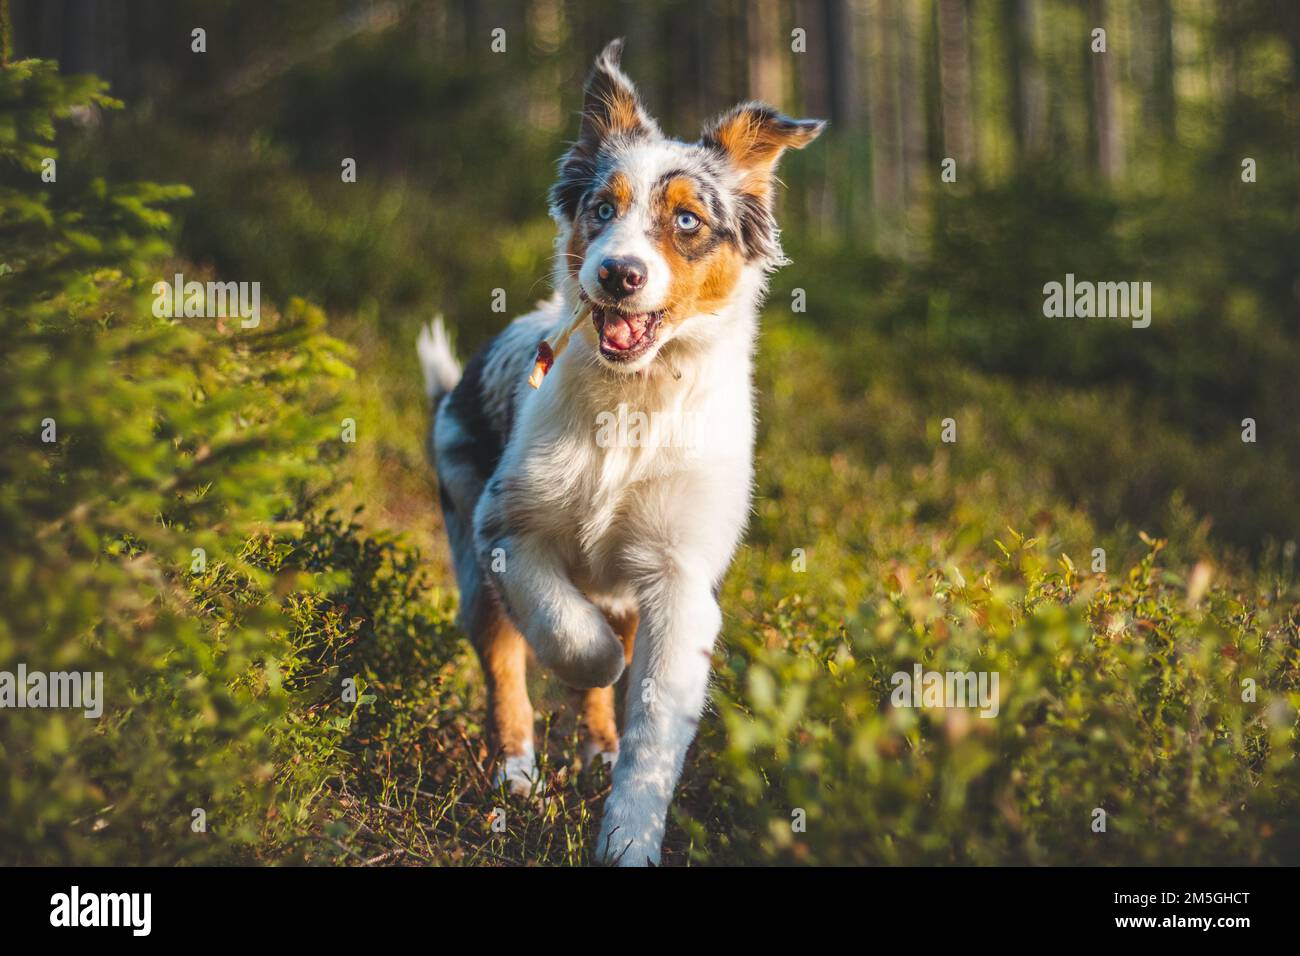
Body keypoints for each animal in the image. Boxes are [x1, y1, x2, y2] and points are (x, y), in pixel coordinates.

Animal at [416, 39, 821, 868]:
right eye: (602, 209)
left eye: (688, 221)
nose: (617, 273)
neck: (635, 403)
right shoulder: (506, 528)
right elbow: (572, 639)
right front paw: (592, 664)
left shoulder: (680, 577)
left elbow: (654, 729)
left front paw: (628, 838)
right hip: (470, 552)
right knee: (505, 668)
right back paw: (517, 779)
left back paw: (596, 749)